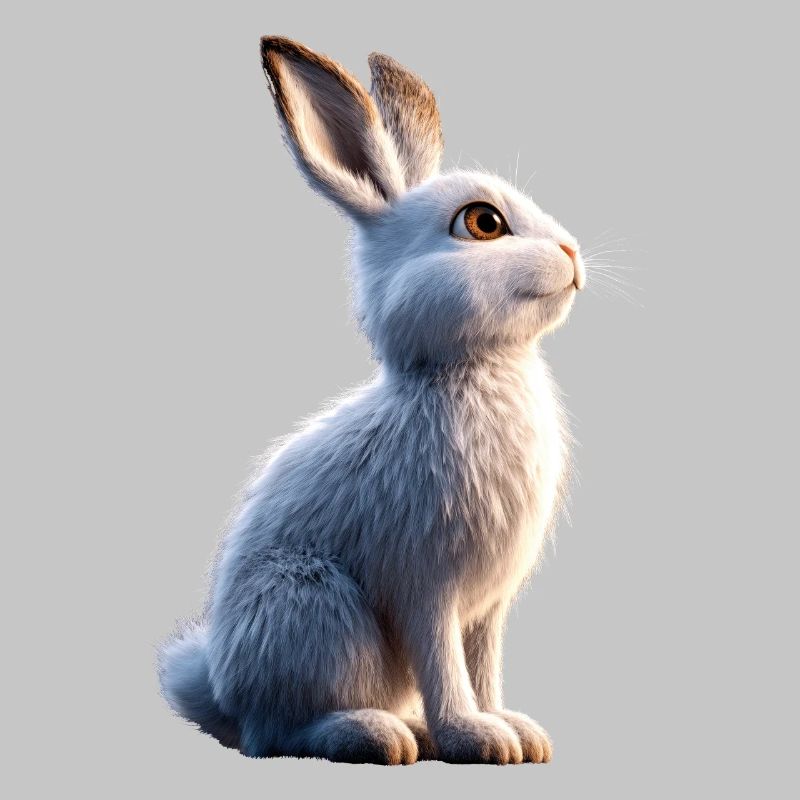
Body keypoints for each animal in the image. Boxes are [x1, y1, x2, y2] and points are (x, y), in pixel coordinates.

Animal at [159, 35, 586, 765]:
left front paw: (516, 733)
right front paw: (475, 738)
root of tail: (221, 691)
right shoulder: (425, 586)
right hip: (318, 610)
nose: (573, 253)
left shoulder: (487, 609)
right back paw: (376, 735)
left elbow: (483, 667)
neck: (468, 369)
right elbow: (445, 667)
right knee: (276, 734)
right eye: (483, 222)